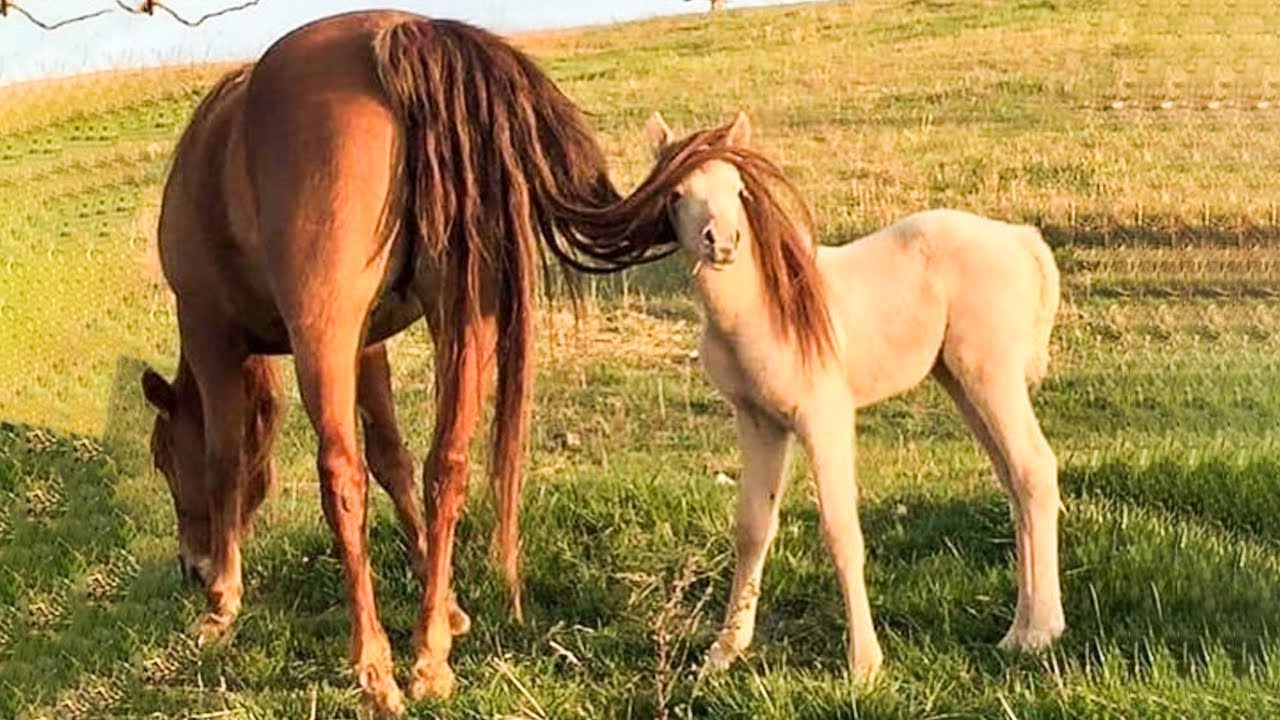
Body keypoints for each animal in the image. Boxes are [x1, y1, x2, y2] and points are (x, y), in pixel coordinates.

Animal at [139, 11, 683, 714]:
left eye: (161, 457)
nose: (192, 567)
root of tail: (401, 35)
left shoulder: (211, 333)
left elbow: (226, 461)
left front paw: (222, 603)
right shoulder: (368, 345)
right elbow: (393, 458)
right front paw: (443, 598)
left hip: (326, 332)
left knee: (340, 475)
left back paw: (376, 670)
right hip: (461, 316)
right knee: (444, 465)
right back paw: (429, 657)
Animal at [641, 112, 1065, 682]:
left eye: (738, 189)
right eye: (676, 193)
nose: (722, 242)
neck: (765, 309)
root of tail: (1021, 239)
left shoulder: (824, 417)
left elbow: (841, 529)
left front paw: (864, 664)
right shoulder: (759, 422)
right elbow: (753, 527)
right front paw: (723, 653)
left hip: (990, 375)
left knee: (1034, 469)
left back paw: (1039, 633)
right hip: (962, 381)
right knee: (1015, 481)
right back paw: (1021, 629)